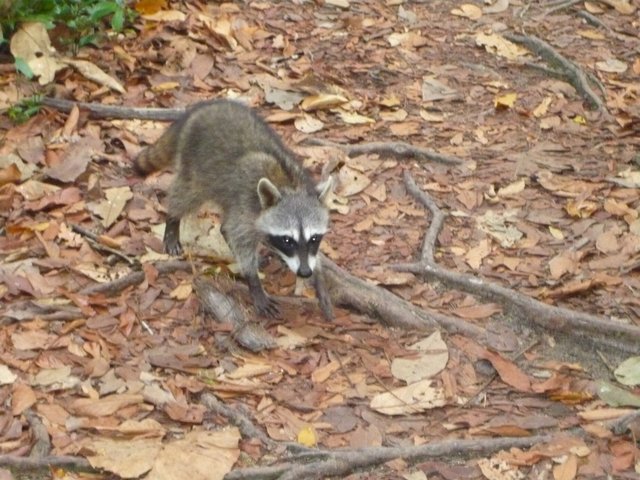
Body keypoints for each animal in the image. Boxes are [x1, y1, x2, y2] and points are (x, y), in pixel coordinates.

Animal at [135, 99, 336, 318]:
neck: (289, 186)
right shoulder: (245, 204)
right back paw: (173, 220)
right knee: (187, 195)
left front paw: (319, 278)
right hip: (196, 165)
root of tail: (202, 108)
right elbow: (239, 238)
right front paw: (253, 281)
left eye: (314, 238)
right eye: (287, 240)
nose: (305, 272)